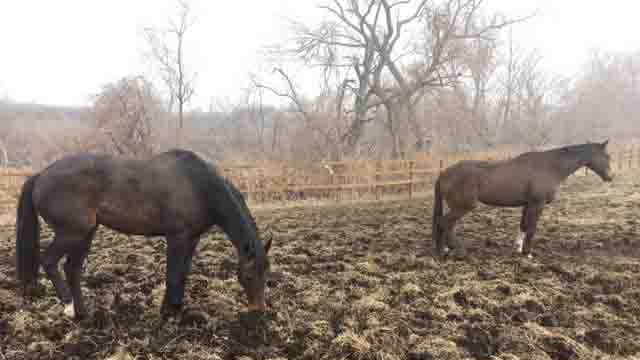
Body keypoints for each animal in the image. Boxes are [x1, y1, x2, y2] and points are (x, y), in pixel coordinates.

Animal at [15, 150, 270, 320]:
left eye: (267, 274)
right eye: (248, 276)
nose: (258, 311)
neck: (199, 186)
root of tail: (41, 175)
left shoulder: (192, 239)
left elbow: (183, 274)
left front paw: (176, 308)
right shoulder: (177, 237)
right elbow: (173, 275)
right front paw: (167, 313)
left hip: (86, 233)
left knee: (72, 269)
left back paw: (83, 313)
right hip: (71, 232)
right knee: (49, 261)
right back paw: (69, 307)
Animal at [432, 139, 612, 258]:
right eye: (607, 156)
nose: (610, 177)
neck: (550, 167)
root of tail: (444, 173)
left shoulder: (528, 204)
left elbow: (523, 226)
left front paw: (517, 248)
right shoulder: (537, 204)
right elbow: (531, 229)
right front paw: (527, 253)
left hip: (458, 207)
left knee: (448, 225)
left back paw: (447, 248)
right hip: (463, 206)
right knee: (444, 223)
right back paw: (449, 250)